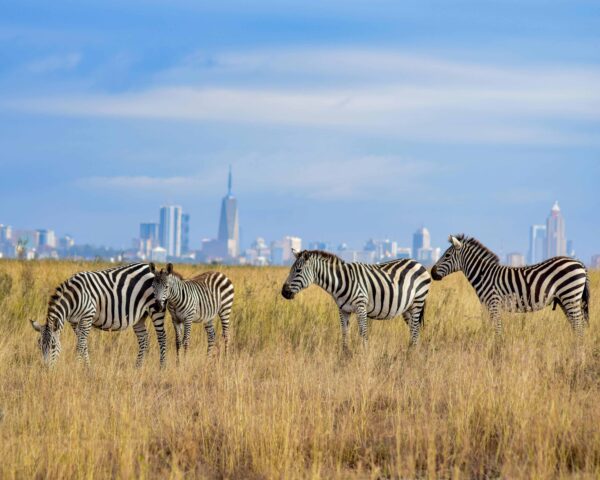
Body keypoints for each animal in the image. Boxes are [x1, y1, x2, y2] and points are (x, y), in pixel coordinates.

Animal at [29, 262, 166, 368]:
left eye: (53, 346)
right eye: (39, 346)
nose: (46, 369)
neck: (73, 298)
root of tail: (149, 267)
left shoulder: (87, 316)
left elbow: (80, 344)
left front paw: (77, 367)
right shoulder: (74, 321)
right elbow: (83, 344)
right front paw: (87, 368)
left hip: (156, 309)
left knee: (162, 337)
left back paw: (162, 368)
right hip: (139, 316)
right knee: (144, 339)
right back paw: (137, 367)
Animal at [282, 249, 432, 350]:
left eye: (298, 271)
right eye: (290, 270)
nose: (284, 292)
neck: (341, 281)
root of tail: (417, 262)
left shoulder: (361, 307)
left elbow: (363, 333)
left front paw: (364, 355)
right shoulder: (343, 310)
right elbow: (344, 332)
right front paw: (345, 355)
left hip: (418, 301)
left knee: (415, 329)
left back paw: (411, 354)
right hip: (407, 308)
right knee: (414, 329)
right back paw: (411, 351)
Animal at [432, 235, 592, 338]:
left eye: (447, 255)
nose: (432, 273)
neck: (484, 275)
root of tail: (581, 264)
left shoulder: (494, 303)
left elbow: (497, 330)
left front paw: (498, 350)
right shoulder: (490, 306)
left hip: (570, 296)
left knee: (579, 325)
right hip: (565, 300)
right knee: (576, 325)